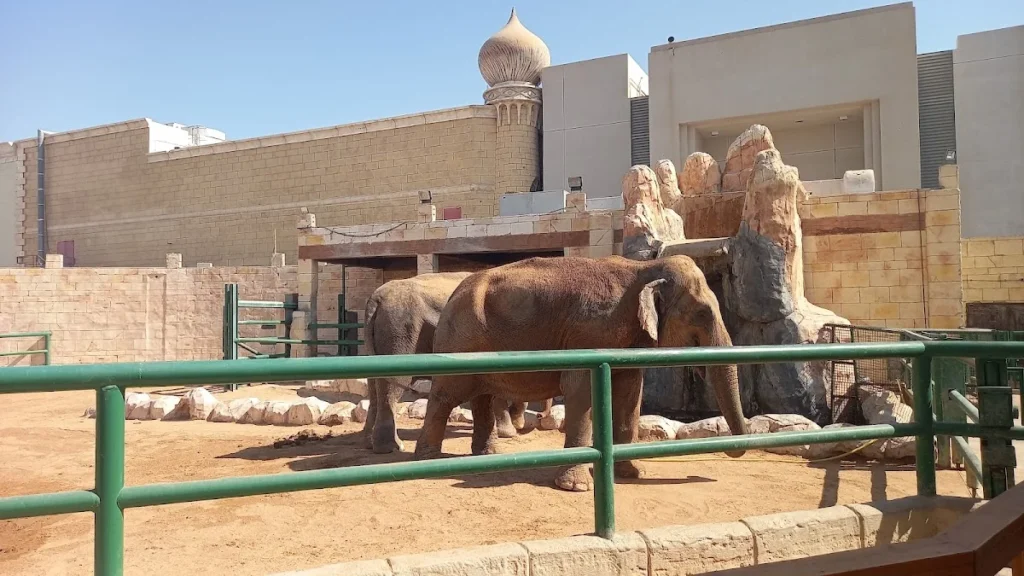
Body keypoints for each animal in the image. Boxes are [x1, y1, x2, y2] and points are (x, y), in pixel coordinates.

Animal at [362, 270, 552, 453]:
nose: (540, 417)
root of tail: (375, 299)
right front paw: (509, 433)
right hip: (399, 333)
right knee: (393, 386)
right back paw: (392, 448)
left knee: (374, 387)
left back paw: (370, 443)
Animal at [411, 254, 749, 487]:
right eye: (702, 313)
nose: (700, 475)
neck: (645, 268)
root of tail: (453, 292)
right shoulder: (592, 331)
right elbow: (580, 389)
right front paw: (576, 486)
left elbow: (630, 394)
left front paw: (633, 473)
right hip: (460, 340)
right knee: (446, 395)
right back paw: (427, 460)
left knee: (481, 395)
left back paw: (488, 456)